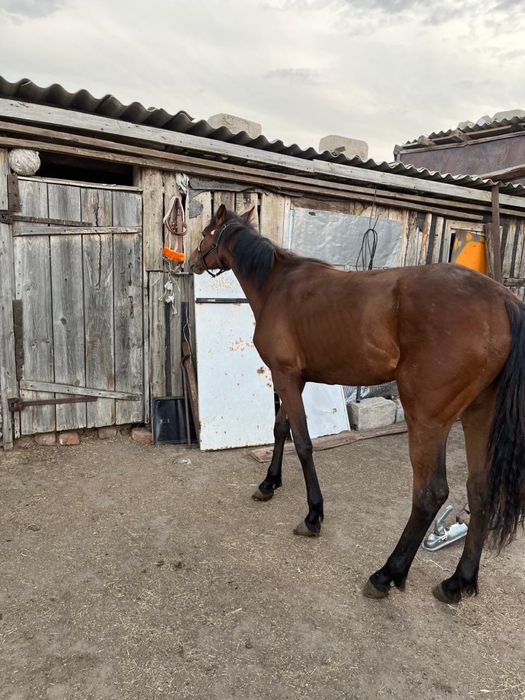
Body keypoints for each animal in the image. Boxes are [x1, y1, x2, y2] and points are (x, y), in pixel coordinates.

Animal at [189, 204, 525, 604]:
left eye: (206, 233)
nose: (191, 261)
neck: (277, 285)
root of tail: (502, 300)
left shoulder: (285, 377)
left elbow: (303, 444)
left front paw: (313, 515)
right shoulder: (294, 379)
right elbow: (281, 428)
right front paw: (269, 483)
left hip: (428, 419)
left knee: (430, 493)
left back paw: (387, 573)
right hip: (478, 415)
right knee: (479, 489)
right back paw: (458, 581)